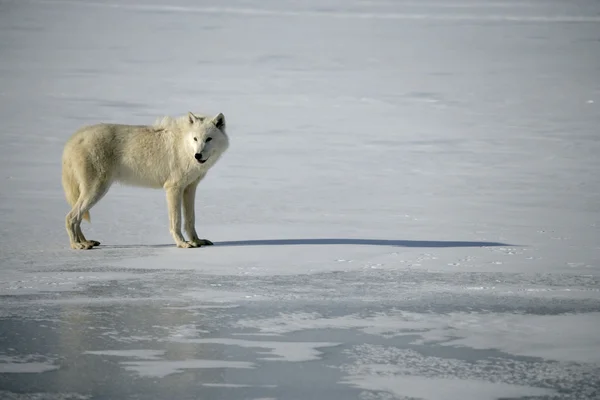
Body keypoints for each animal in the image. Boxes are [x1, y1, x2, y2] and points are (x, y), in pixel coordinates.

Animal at [61, 112, 230, 248]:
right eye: (195, 139)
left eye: (208, 139)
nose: (198, 155)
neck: (184, 147)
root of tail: (74, 138)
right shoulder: (173, 188)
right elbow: (176, 221)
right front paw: (182, 243)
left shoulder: (189, 188)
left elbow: (190, 220)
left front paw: (197, 241)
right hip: (96, 190)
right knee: (70, 217)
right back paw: (77, 245)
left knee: (77, 218)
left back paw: (86, 242)